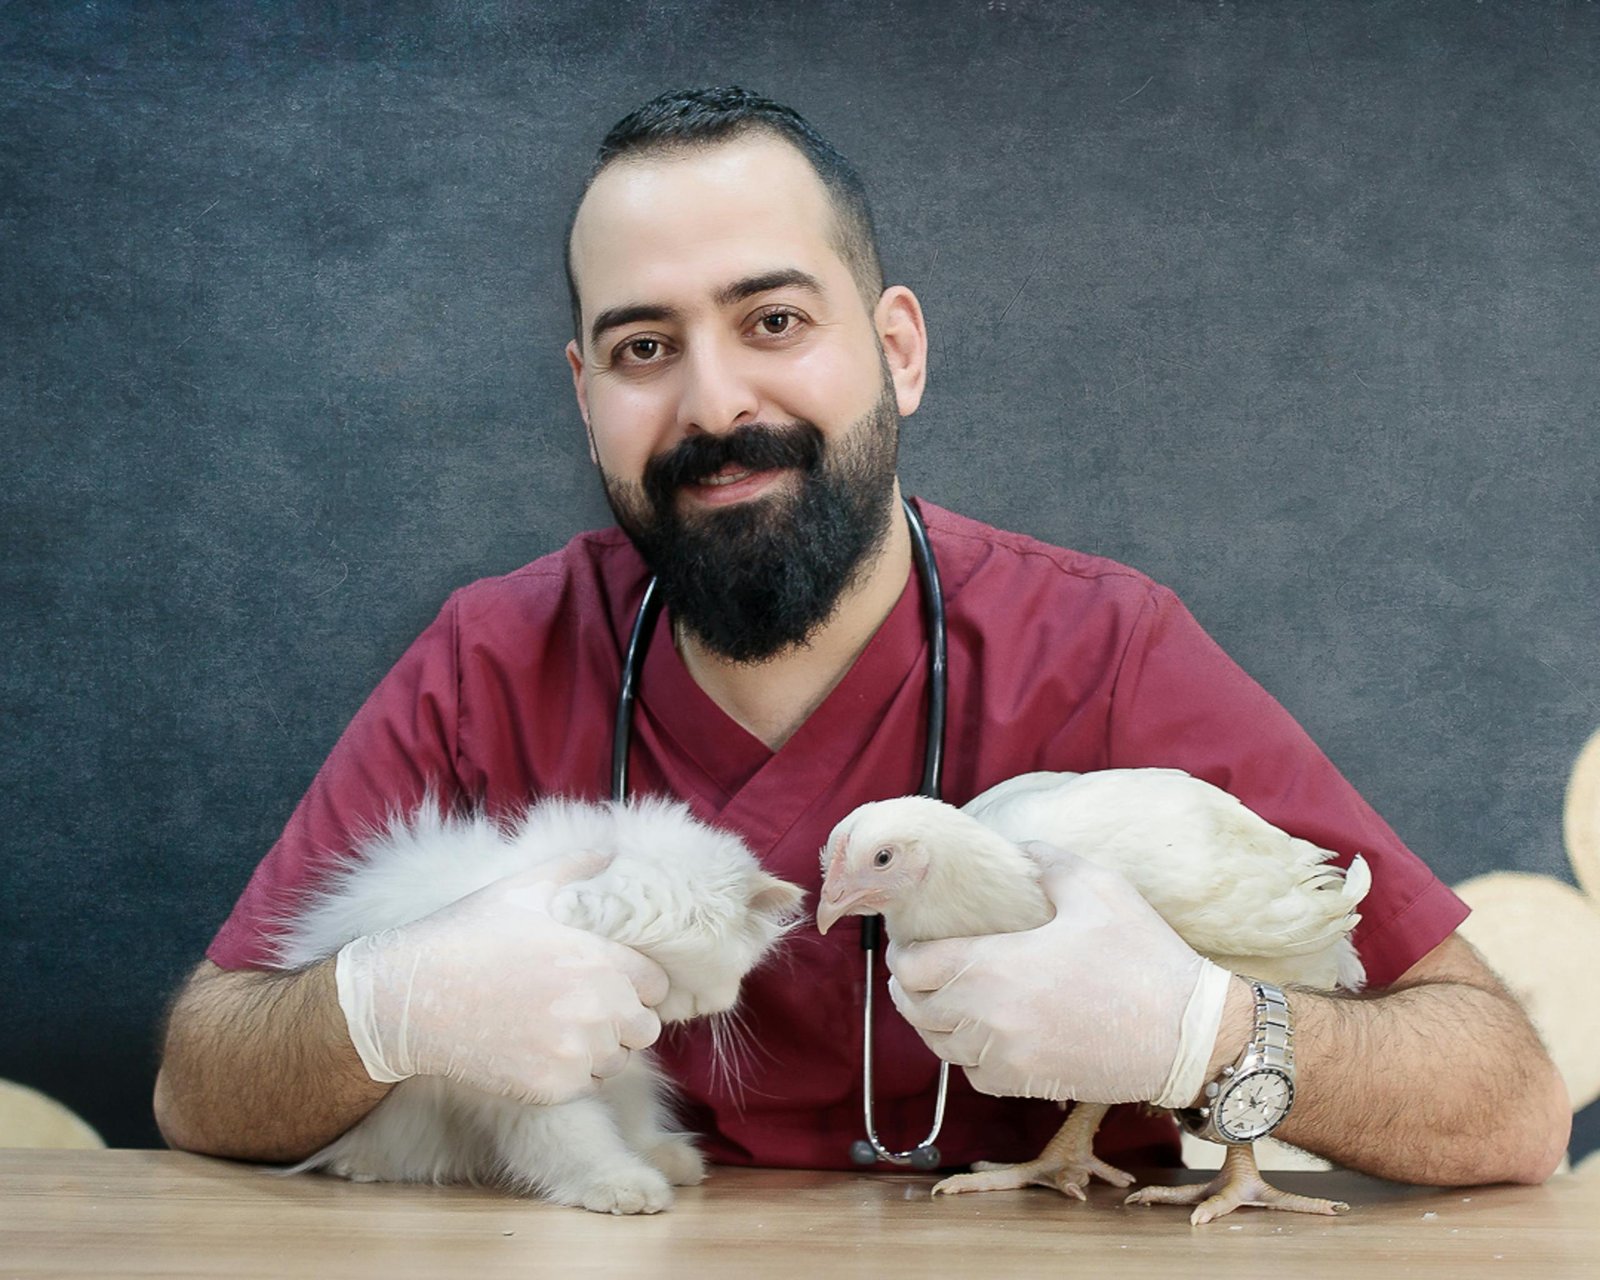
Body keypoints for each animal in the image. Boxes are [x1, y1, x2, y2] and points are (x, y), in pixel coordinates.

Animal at [272, 793, 812, 1216]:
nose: (710, 1009)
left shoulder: (618, 1064)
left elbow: (631, 1116)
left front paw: (659, 1157)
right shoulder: (537, 1085)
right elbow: (578, 1139)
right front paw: (623, 1186)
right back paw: (363, 1165)